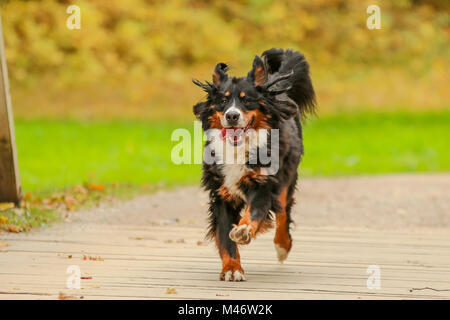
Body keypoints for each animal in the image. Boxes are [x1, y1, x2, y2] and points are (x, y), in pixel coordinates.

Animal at [193, 47, 316, 280]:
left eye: (246, 100)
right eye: (223, 101)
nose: (232, 116)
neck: (237, 150)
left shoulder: (263, 185)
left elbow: (253, 214)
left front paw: (243, 231)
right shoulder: (221, 192)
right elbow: (225, 236)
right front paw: (232, 268)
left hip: (285, 177)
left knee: (283, 212)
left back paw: (282, 246)